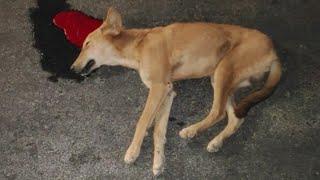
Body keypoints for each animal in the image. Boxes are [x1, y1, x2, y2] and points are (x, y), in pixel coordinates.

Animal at [69, 7, 280, 176]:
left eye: (87, 44)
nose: (71, 69)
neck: (139, 44)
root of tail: (274, 51)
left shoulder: (159, 87)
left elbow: (142, 121)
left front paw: (133, 151)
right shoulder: (168, 91)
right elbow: (158, 130)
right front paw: (158, 161)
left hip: (223, 70)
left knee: (218, 112)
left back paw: (192, 130)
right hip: (221, 79)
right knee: (235, 118)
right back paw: (216, 142)